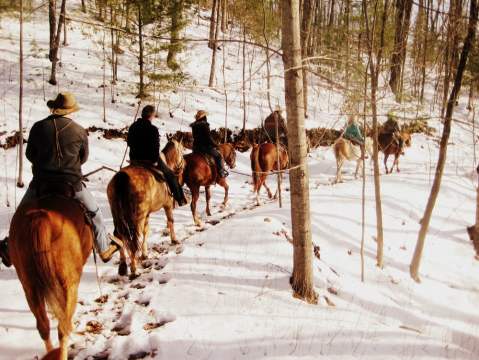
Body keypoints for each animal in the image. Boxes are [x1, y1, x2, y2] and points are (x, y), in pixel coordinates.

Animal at [108, 139, 185, 278]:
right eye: (182, 150)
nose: (183, 165)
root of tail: (121, 178)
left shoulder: (147, 214)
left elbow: (146, 231)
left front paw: (144, 253)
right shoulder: (167, 205)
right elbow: (170, 220)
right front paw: (174, 239)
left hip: (118, 216)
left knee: (120, 235)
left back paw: (123, 267)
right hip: (137, 217)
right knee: (133, 239)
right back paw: (134, 270)